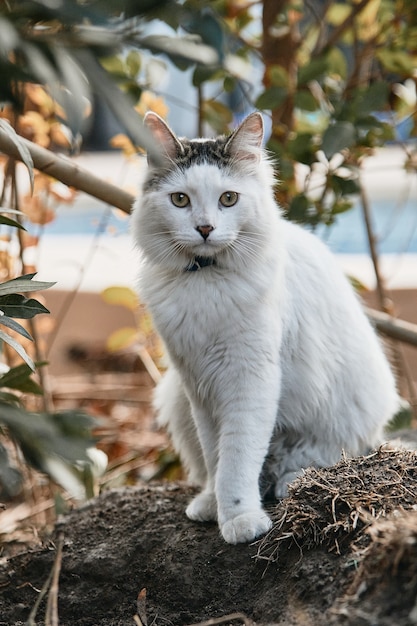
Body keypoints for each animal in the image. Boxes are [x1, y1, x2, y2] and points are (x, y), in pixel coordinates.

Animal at [132, 111, 398, 540]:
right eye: (180, 199)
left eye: (228, 199)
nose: (204, 229)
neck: (207, 281)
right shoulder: (199, 384)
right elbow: (216, 456)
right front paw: (216, 505)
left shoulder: (248, 378)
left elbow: (237, 457)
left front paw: (240, 517)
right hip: (175, 397)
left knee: (327, 456)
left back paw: (292, 480)